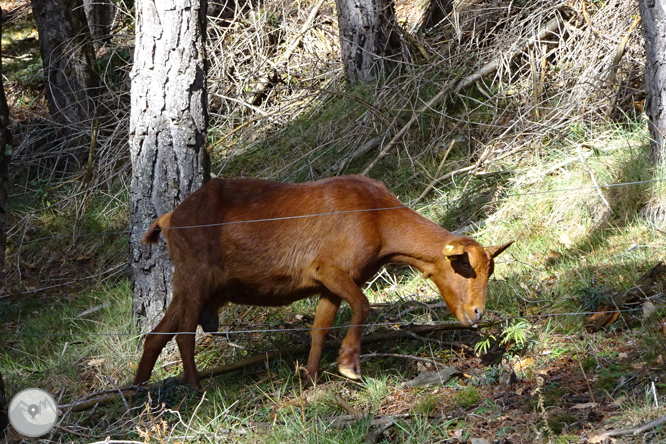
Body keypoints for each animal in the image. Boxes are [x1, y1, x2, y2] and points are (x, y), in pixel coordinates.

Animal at [132, 175, 510, 386]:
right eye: (463, 266)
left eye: (489, 270)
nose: (477, 313)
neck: (378, 220)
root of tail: (170, 218)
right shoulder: (329, 268)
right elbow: (363, 305)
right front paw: (348, 365)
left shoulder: (332, 284)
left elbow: (320, 329)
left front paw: (311, 380)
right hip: (195, 277)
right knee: (183, 335)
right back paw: (195, 390)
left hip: (193, 286)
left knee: (156, 336)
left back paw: (139, 396)